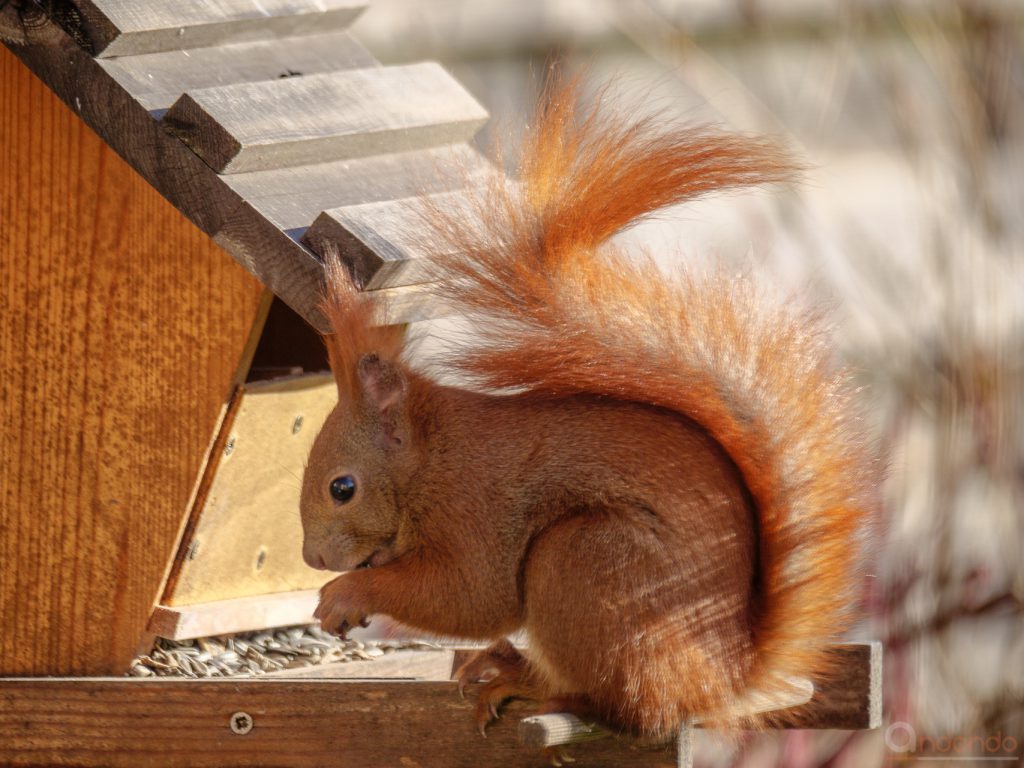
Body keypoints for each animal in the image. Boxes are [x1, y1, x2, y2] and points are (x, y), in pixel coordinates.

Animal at [299, 76, 876, 741]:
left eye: (343, 488)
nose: (312, 559)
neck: (430, 457)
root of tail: (724, 678)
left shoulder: (473, 507)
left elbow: (469, 594)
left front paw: (346, 594)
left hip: (583, 564)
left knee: (623, 705)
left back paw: (532, 685)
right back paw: (503, 661)